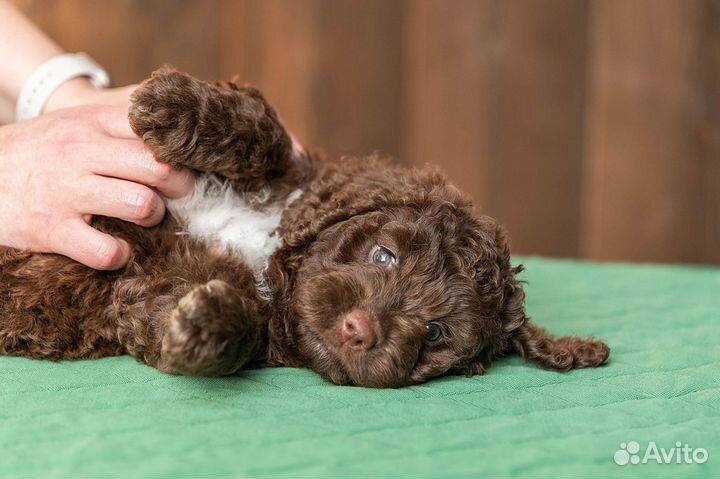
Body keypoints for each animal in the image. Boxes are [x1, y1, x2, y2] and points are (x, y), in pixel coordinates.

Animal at [0, 69, 612, 388]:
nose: (358, 330)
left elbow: (201, 322)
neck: (268, 255)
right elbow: (269, 136)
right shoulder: (290, 176)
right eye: (385, 256)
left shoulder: (149, 296)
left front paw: (204, 321)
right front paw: (172, 104)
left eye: (436, 334)